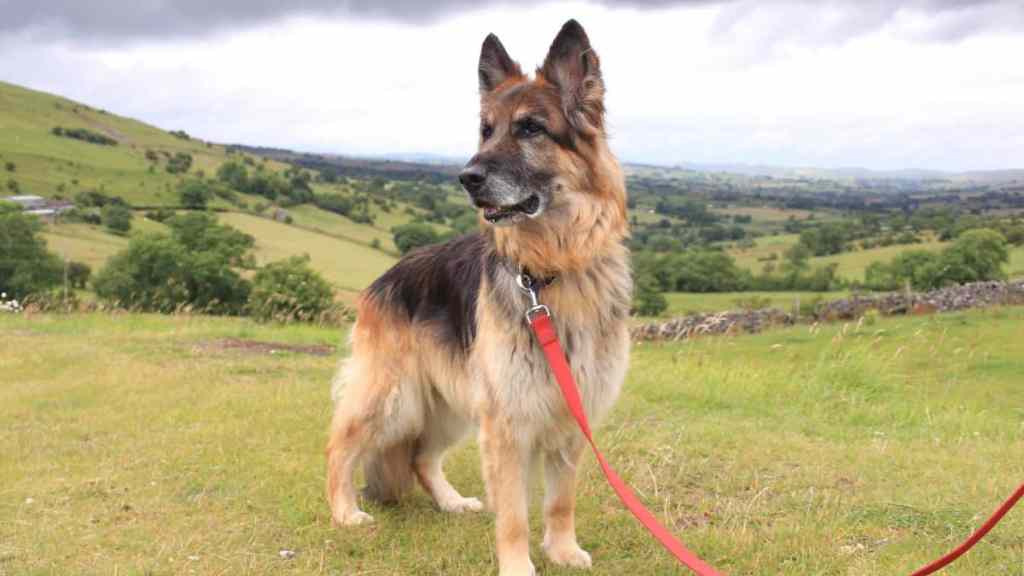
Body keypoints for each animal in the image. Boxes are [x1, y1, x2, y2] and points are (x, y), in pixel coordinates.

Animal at [326, 19, 631, 576]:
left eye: (530, 128)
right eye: (486, 130)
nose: (467, 178)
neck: (551, 271)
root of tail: (385, 278)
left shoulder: (570, 418)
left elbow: (560, 500)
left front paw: (562, 551)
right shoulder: (507, 424)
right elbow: (513, 513)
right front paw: (518, 565)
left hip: (449, 403)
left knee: (421, 457)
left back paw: (449, 502)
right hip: (395, 397)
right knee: (340, 444)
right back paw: (344, 511)